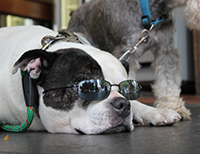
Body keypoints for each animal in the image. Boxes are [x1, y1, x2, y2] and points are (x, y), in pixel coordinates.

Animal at [67, 0, 200, 120]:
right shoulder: (126, 51)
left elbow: (168, 80)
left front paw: (173, 106)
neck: (149, 12)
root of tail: (75, 12)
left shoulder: (165, 50)